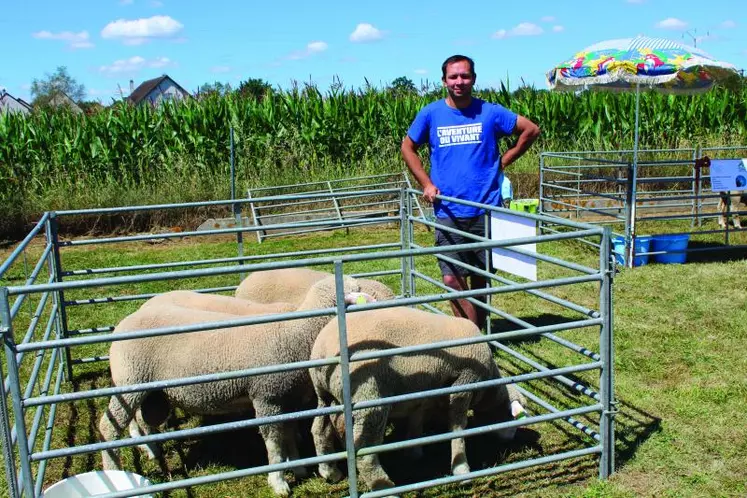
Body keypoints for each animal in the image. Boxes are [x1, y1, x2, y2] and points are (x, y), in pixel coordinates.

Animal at [101, 274, 374, 496]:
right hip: (130, 380)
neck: (296, 331)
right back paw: (116, 471)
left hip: (149, 391)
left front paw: (298, 467)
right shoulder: (266, 396)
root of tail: (126, 321)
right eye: (358, 290)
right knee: (109, 427)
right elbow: (274, 442)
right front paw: (278, 482)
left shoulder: (283, 396)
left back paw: (152, 450)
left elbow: (287, 434)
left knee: (142, 419)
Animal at [310, 308, 524, 494]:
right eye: (513, 418)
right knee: (364, 450)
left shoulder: (422, 392)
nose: (510, 440)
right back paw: (385, 488)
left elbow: (417, 419)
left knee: (320, 428)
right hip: (370, 396)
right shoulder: (464, 383)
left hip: (324, 394)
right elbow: (458, 427)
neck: (488, 386)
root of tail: (324, 349)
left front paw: (414, 451)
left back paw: (329, 471)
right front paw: (461, 469)